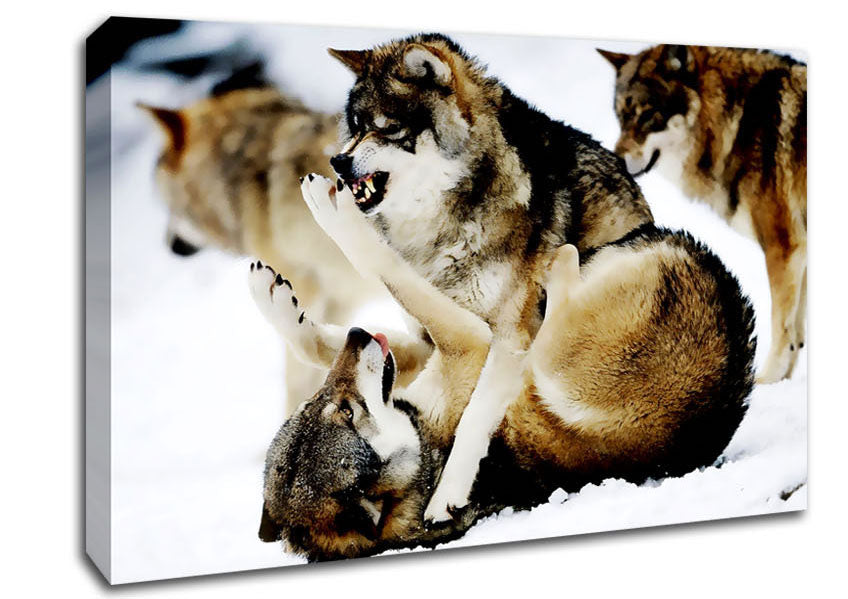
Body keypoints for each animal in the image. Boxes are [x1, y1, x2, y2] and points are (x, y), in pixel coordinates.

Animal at [248, 173, 755, 560]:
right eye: (347, 413)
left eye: (323, 404)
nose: (358, 335)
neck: (423, 447)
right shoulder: (472, 344)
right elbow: (382, 267)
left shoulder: (440, 354)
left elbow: (320, 342)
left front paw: (275, 298)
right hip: (550, 357)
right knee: (555, 292)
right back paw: (558, 265)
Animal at [597, 44, 806, 383]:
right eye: (621, 116)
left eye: (649, 114)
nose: (614, 158)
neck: (739, 122)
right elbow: (797, 334)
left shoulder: (784, 248)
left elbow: (783, 332)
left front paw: (766, 383)